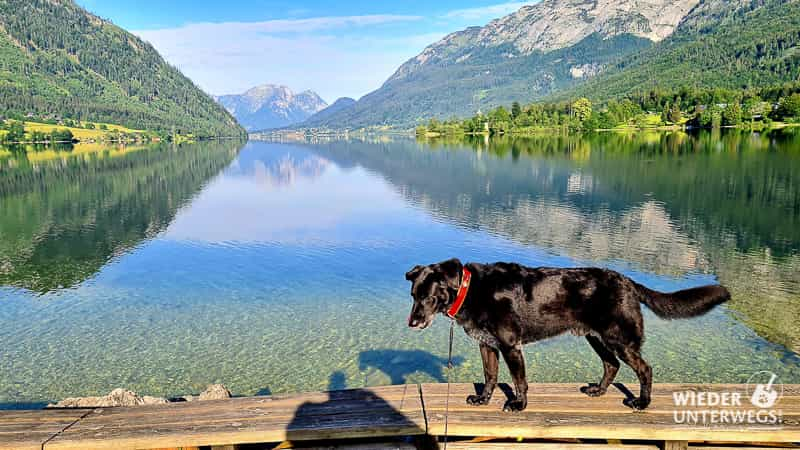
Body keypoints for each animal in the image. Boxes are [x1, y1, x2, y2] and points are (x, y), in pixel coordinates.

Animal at [406, 260, 732, 412]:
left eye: (429, 297)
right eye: (413, 295)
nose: (411, 322)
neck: (472, 289)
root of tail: (627, 282)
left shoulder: (511, 346)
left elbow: (518, 381)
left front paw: (519, 405)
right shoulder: (487, 346)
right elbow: (490, 376)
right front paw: (483, 399)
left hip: (619, 339)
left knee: (645, 369)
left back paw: (642, 402)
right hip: (597, 338)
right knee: (611, 365)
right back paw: (598, 391)